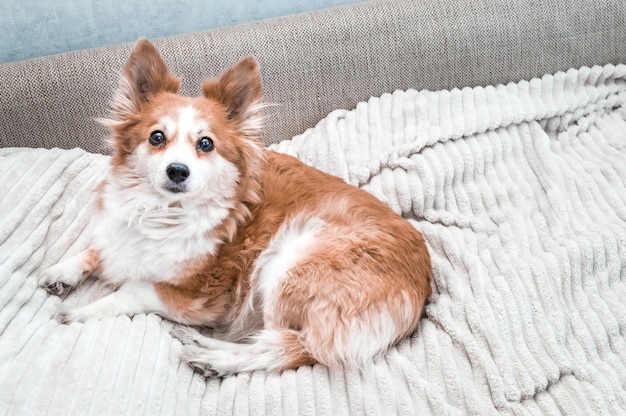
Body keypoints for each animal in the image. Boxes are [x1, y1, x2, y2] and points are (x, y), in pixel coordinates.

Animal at [37, 39, 428, 376]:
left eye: (206, 144)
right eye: (156, 137)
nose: (177, 170)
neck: (164, 212)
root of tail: (424, 285)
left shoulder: (201, 298)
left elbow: (133, 289)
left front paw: (82, 311)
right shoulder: (121, 232)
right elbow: (100, 248)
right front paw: (64, 270)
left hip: (287, 266)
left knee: (292, 346)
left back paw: (215, 355)